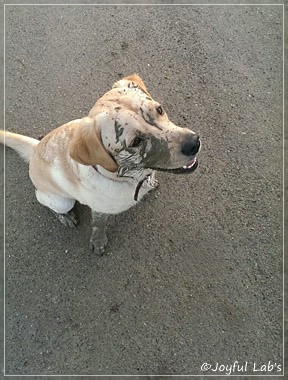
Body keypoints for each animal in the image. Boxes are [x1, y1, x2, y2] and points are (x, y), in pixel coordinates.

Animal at [0, 73, 200, 255]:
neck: (131, 179)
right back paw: (65, 216)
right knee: (43, 200)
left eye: (159, 109)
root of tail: (35, 148)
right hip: (61, 201)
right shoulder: (99, 210)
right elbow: (98, 225)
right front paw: (98, 241)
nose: (194, 143)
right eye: (136, 141)